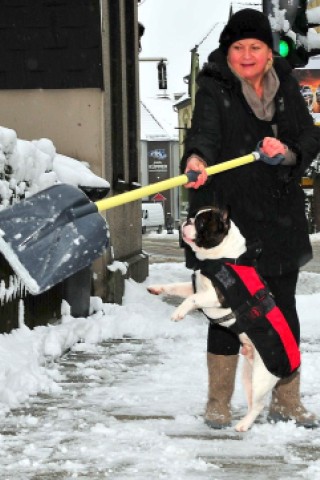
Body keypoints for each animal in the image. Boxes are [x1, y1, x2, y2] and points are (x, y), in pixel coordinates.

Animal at [148, 206, 300, 432]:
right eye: (194, 217)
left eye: (202, 222)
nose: (187, 220)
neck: (222, 257)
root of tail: (291, 368)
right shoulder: (195, 287)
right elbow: (176, 287)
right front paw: (157, 288)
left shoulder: (216, 296)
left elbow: (192, 299)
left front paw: (178, 313)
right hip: (248, 375)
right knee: (251, 401)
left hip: (261, 377)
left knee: (258, 404)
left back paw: (243, 425)